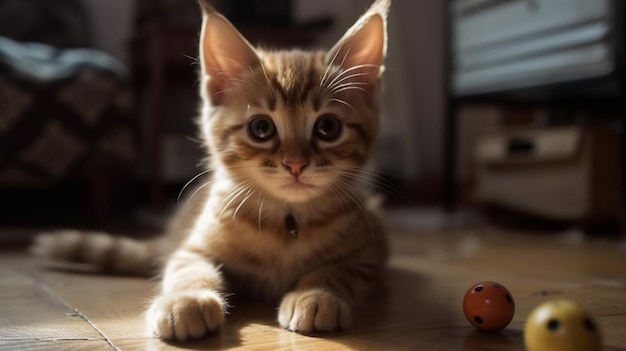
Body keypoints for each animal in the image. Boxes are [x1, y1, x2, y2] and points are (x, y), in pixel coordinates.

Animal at [33, 0, 390, 342]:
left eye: (328, 128)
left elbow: (334, 271)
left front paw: (316, 296)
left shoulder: (365, 257)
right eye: (261, 128)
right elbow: (189, 270)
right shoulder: (192, 249)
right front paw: (186, 301)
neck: (287, 220)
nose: (295, 164)